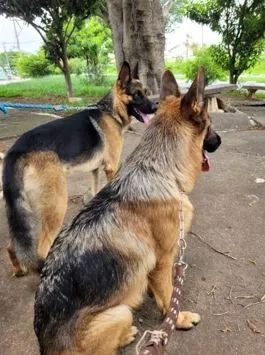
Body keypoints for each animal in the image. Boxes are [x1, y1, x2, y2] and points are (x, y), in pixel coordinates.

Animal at [2, 62, 156, 278]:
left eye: (147, 93)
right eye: (137, 95)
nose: (156, 107)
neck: (111, 111)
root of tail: (16, 150)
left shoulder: (95, 170)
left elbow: (95, 191)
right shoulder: (111, 168)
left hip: (25, 210)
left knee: (13, 244)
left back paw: (18, 269)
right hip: (57, 203)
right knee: (41, 247)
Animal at [34, 67, 221, 355]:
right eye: (210, 123)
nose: (219, 140)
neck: (161, 170)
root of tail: (46, 347)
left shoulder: (157, 266)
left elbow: (159, 288)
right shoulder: (164, 259)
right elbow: (169, 294)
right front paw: (176, 318)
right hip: (120, 312)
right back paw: (127, 335)